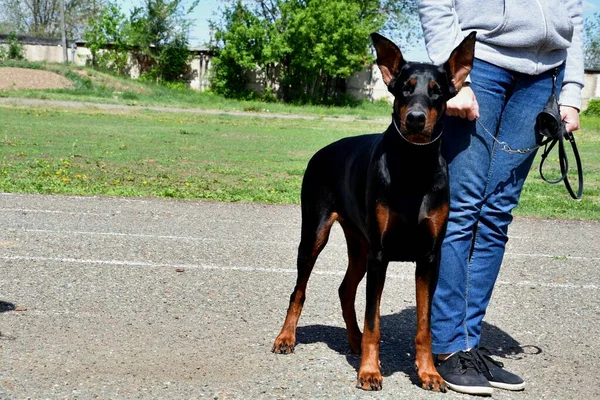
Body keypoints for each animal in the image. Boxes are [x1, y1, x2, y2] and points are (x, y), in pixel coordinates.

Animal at [274, 32, 476, 392]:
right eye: (405, 88)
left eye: (436, 90)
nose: (415, 119)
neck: (413, 167)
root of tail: (320, 153)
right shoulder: (381, 254)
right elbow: (374, 321)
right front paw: (369, 372)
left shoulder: (429, 256)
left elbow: (424, 324)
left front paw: (429, 373)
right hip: (316, 233)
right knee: (299, 290)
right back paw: (286, 338)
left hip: (360, 243)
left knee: (345, 288)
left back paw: (353, 340)